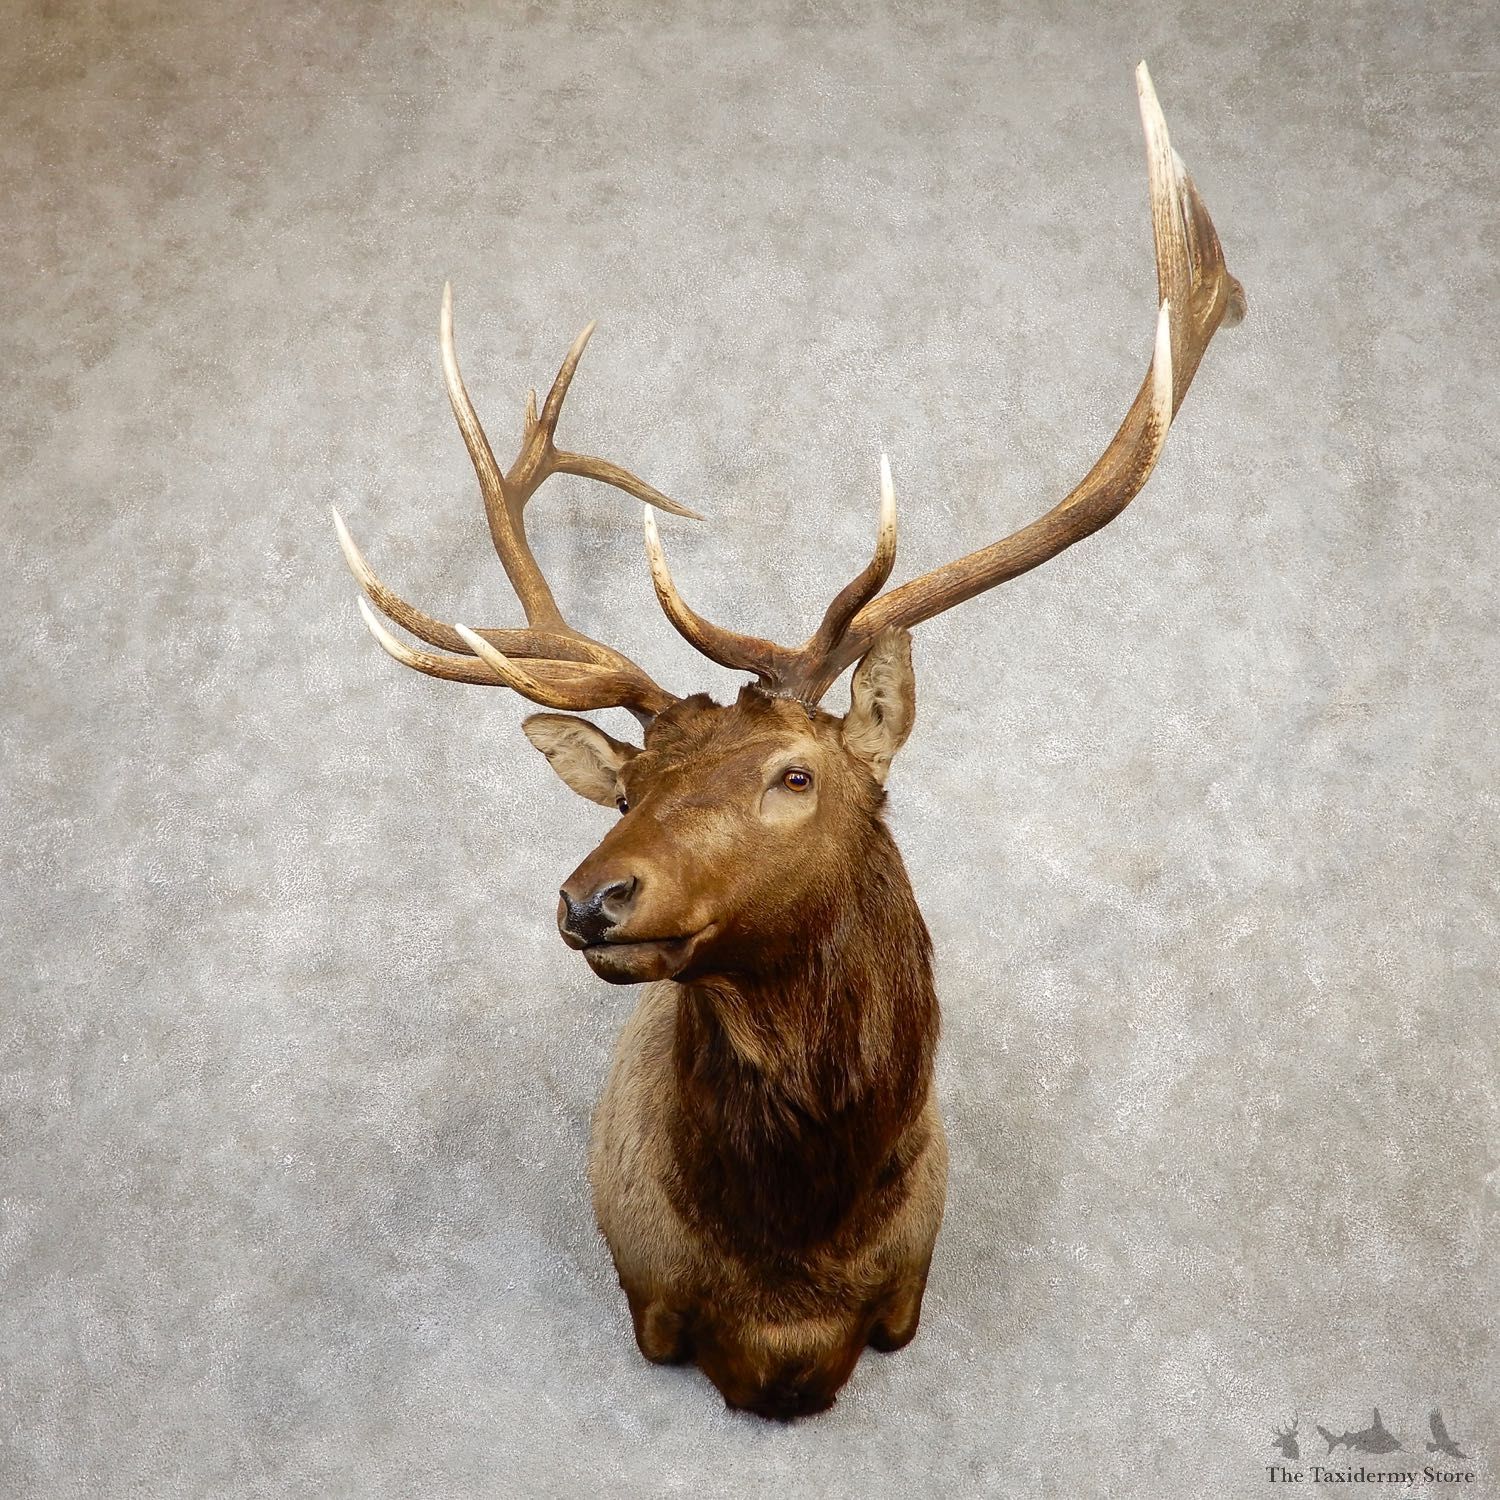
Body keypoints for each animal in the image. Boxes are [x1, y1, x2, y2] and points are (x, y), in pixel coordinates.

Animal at [333, 64, 1243, 1419]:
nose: (591, 898)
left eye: (794, 772)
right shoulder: (654, 1299)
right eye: (625, 793)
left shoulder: (907, 1292)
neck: (788, 1284)